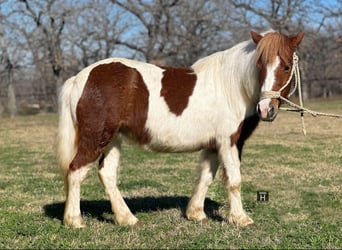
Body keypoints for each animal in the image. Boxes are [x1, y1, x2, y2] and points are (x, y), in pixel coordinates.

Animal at [56, 29, 304, 229]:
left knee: (106, 174)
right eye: (260, 66)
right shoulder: (229, 141)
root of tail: (79, 78)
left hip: (112, 140)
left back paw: (128, 219)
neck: (232, 86)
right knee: (76, 170)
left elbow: (206, 177)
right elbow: (234, 180)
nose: (266, 109)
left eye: (286, 66)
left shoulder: (214, 145)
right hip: (96, 138)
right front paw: (241, 219)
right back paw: (75, 221)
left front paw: (196, 214)